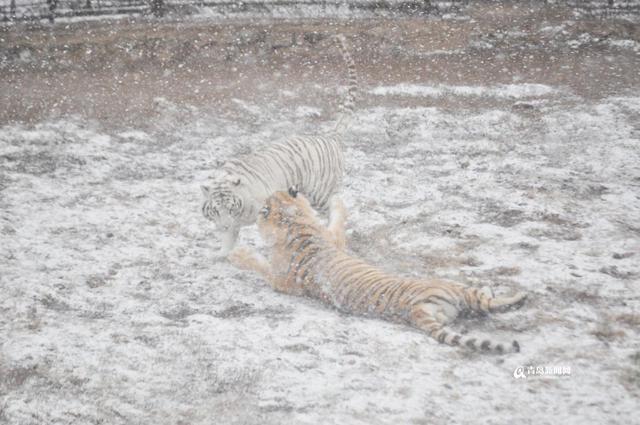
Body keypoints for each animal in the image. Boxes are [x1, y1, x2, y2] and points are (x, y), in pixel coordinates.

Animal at [200, 34, 358, 253]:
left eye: (231, 208)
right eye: (216, 210)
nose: (223, 225)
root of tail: (329, 136)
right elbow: (229, 242)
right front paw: (225, 254)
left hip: (321, 193)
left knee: (336, 204)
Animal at [228, 188, 528, 352]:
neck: (295, 224)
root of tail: (416, 309)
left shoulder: (332, 238)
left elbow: (338, 218)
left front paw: (336, 201)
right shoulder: (280, 280)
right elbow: (257, 262)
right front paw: (237, 252)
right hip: (454, 288)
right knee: (488, 302)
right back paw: (518, 296)